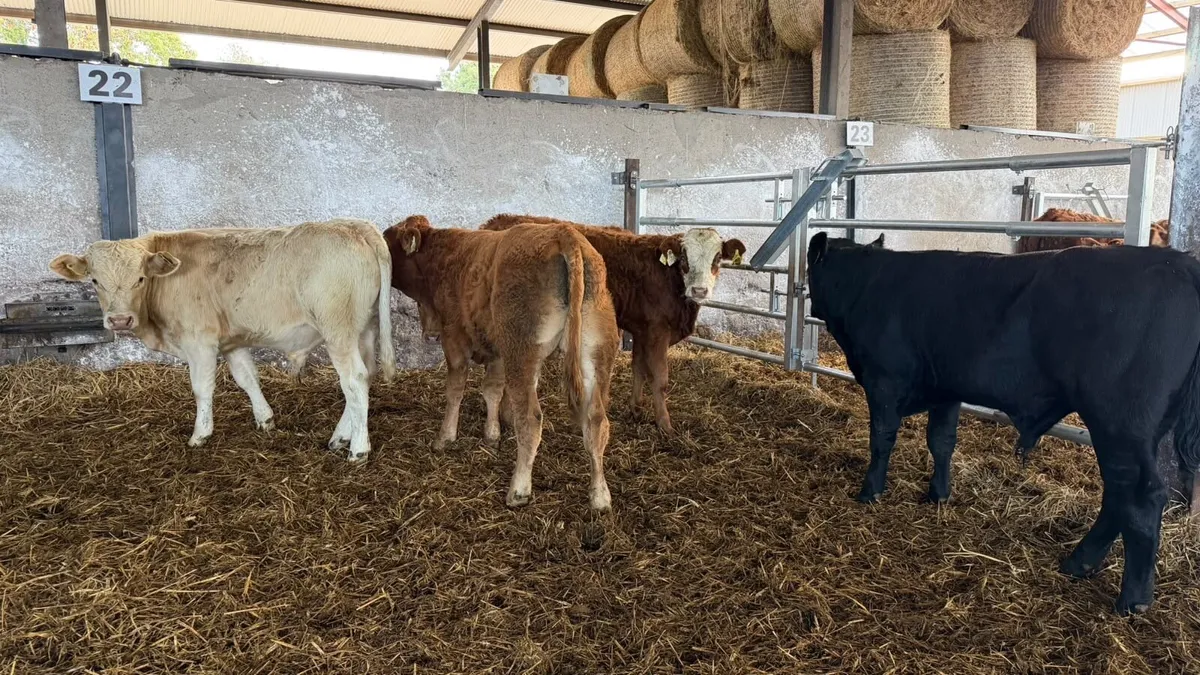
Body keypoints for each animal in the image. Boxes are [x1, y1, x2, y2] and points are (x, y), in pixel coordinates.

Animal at [49, 219, 395, 463]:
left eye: (140, 279)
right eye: (95, 280)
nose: (120, 321)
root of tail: (355, 225)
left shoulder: (199, 341)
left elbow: (202, 389)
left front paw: (200, 435)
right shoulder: (233, 342)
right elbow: (248, 379)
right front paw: (265, 420)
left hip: (339, 331)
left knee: (354, 380)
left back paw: (358, 449)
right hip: (364, 329)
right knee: (365, 376)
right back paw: (341, 437)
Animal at [384, 215, 620, 511]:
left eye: (387, 240)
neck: (443, 254)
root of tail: (565, 234)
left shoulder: (454, 339)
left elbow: (455, 390)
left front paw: (445, 437)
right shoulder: (496, 350)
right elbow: (492, 390)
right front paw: (493, 433)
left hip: (521, 351)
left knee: (530, 420)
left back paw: (518, 490)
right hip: (594, 354)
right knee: (597, 421)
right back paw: (600, 496)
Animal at [481, 214, 746, 433]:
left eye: (717, 258)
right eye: (684, 258)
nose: (700, 290)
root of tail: (497, 221)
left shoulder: (642, 329)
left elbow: (638, 368)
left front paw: (636, 409)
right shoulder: (657, 331)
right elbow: (660, 379)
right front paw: (665, 425)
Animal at [806, 231, 1200, 615]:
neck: (867, 283)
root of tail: (1179, 263)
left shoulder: (883, 381)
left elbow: (881, 439)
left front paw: (870, 492)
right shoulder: (946, 389)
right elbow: (942, 441)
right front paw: (939, 494)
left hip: (1119, 425)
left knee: (1141, 497)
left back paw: (1132, 598)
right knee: (1118, 494)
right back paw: (1079, 563)